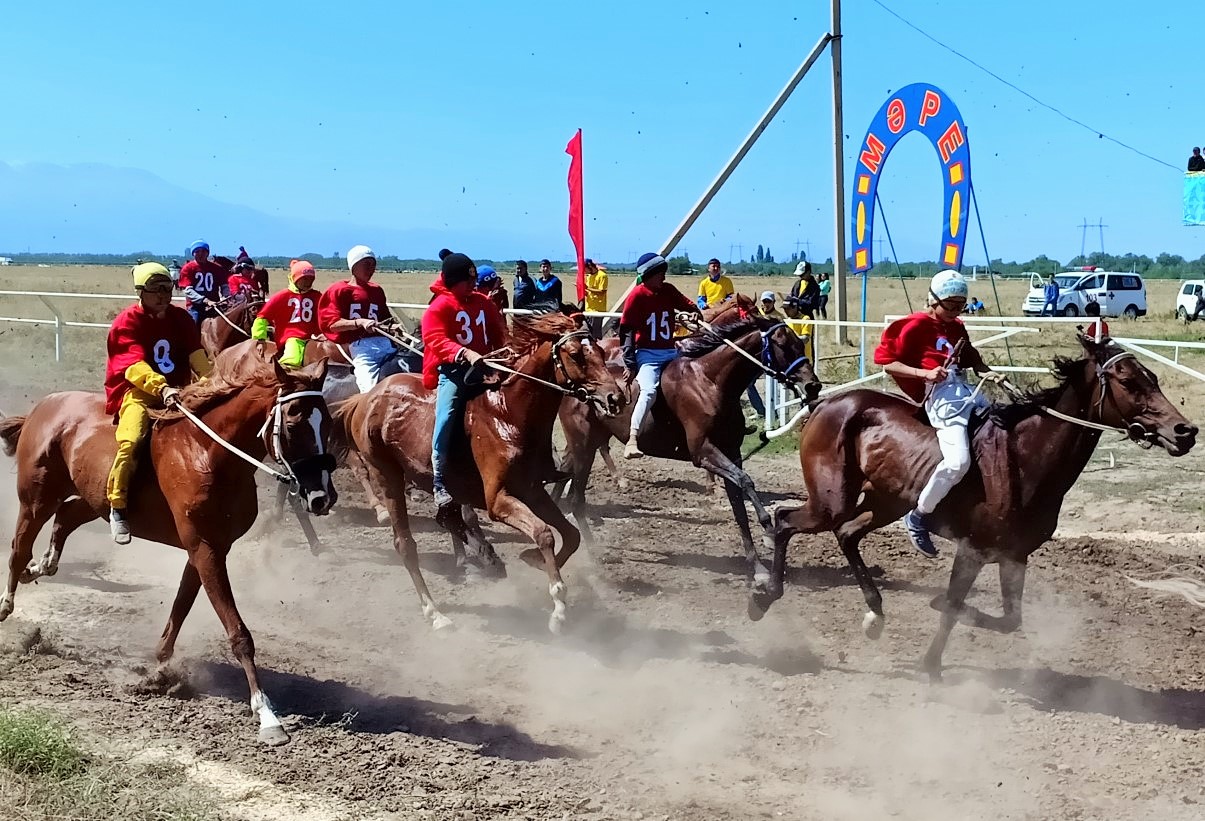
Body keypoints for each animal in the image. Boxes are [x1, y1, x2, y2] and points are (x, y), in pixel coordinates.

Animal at [0, 349, 334, 747]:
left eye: (328, 423)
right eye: (295, 423)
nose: (322, 497)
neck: (206, 453)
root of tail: (45, 406)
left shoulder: (209, 549)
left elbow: (180, 605)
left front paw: (158, 668)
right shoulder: (204, 548)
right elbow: (238, 633)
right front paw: (266, 713)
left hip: (93, 497)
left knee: (66, 516)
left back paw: (43, 565)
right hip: (35, 499)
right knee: (19, 548)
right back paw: (7, 603)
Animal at [334, 311, 626, 631]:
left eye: (601, 352)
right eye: (575, 355)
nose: (615, 398)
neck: (508, 414)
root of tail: (366, 399)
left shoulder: (532, 491)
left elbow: (570, 535)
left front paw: (532, 560)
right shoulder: (498, 500)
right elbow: (543, 533)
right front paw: (558, 607)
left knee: (448, 519)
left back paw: (487, 558)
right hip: (388, 476)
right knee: (405, 544)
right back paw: (435, 612)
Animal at [554, 306, 819, 607]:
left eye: (800, 342)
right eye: (783, 345)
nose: (813, 386)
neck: (711, 381)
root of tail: (572, 385)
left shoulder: (731, 453)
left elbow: (739, 508)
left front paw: (758, 569)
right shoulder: (703, 452)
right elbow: (746, 482)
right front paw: (769, 530)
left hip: (585, 444)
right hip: (583, 444)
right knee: (576, 499)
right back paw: (594, 555)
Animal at [771, 335, 1195, 679]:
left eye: (1153, 377)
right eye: (1128, 381)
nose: (1185, 431)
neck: (1025, 458)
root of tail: (826, 403)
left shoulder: (1014, 555)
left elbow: (1009, 620)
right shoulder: (973, 549)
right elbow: (953, 606)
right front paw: (932, 662)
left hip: (885, 502)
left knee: (845, 533)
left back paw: (874, 613)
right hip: (831, 501)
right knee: (784, 520)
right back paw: (765, 595)